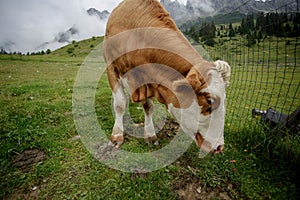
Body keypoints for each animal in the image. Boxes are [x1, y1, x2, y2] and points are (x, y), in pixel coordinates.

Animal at [102, 0, 230, 154]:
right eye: (210, 102)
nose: (220, 147)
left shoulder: (149, 78)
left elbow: (148, 106)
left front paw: (150, 136)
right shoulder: (112, 67)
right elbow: (120, 104)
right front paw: (116, 136)